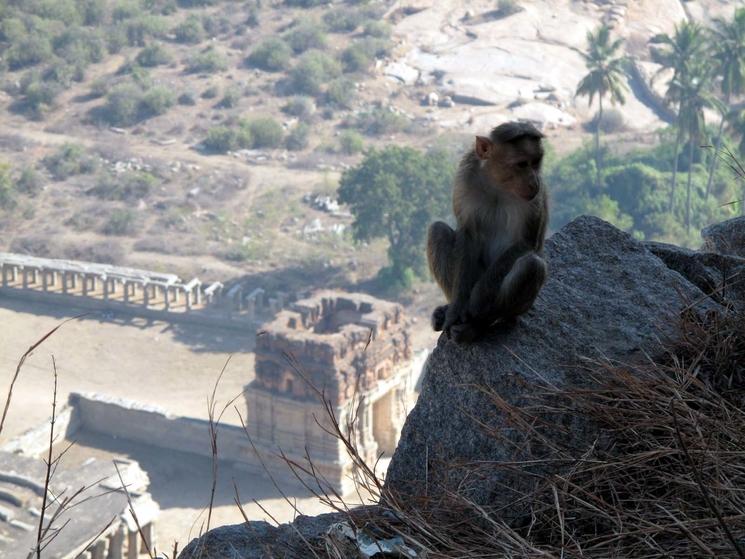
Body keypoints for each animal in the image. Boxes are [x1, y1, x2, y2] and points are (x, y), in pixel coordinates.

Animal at [428, 120, 548, 344]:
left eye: (536, 162)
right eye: (522, 164)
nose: (534, 181)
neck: (497, 184)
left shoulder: (532, 201)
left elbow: (526, 242)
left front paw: (477, 299)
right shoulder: (465, 178)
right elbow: (467, 233)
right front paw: (456, 310)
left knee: (532, 266)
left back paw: (478, 325)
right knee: (437, 231)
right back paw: (449, 310)